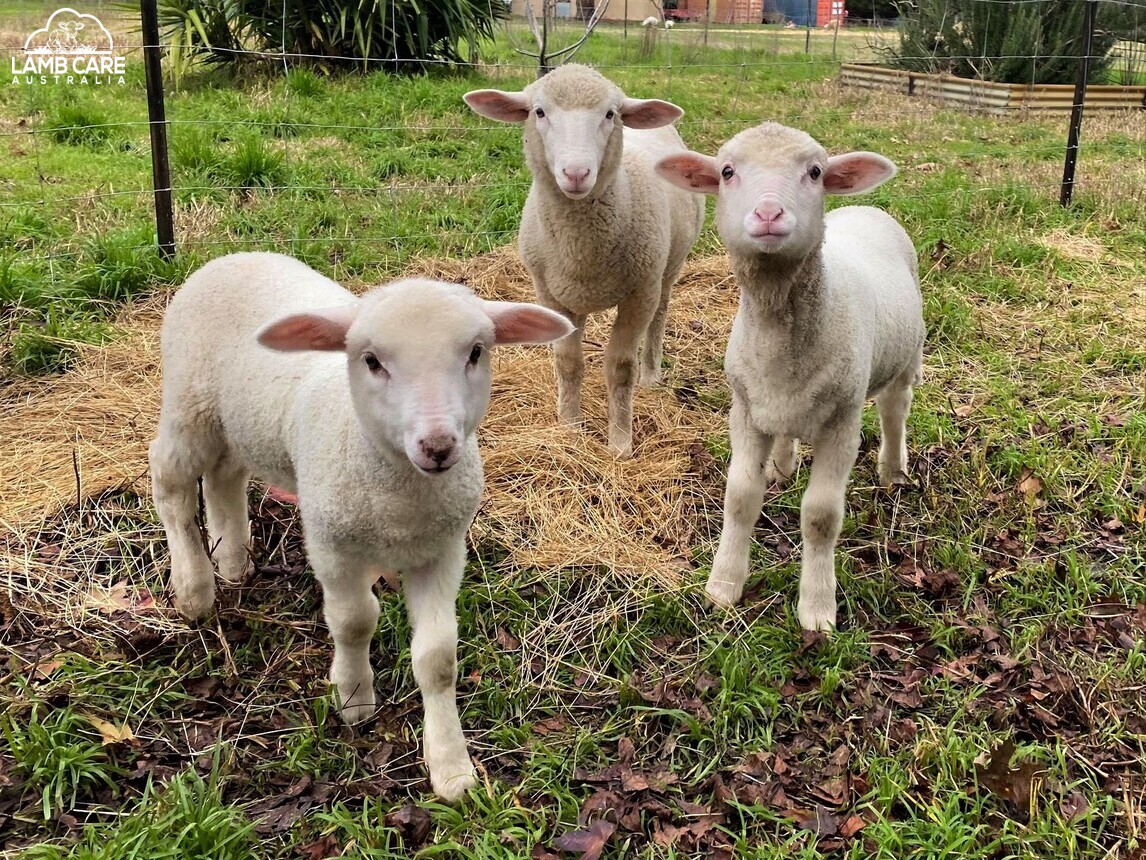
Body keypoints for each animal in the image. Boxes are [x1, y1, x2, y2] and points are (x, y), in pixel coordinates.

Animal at [147, 254, 573, 802]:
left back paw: (233, 559)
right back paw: (194, 588)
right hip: (188, 401)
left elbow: (437, 657)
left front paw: (450, 765)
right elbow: (354, 620)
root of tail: (234, 257)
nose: (438, 446)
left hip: (241, 420)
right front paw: (353, 698)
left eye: (476, 352)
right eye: (371, 361)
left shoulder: (443, 550)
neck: (399, 493)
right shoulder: (331, 543)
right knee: (171, 482)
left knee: (225, 475)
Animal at [460, 63, 701, 460]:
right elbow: (568, 361)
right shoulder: (549, 293)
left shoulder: (640, 294)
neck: (582, 248)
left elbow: (620, 367)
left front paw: (620, 443)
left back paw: (651, 376)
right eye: (539, 112)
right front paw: (570, 428)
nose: (576, 174)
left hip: (666, 269)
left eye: (610, 114)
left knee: (660, 316)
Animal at [655, 122, 921, 632]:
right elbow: (740, 497)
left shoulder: (842, 421)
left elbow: (820, 516)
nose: (768, 213)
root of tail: (865, 207)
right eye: (727, 171)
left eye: (815, 172)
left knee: (895, 408)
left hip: (906, 356)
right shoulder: (743, 409)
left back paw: (893, 470)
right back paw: (781, 466)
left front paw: (817, 608)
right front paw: (723, 585)